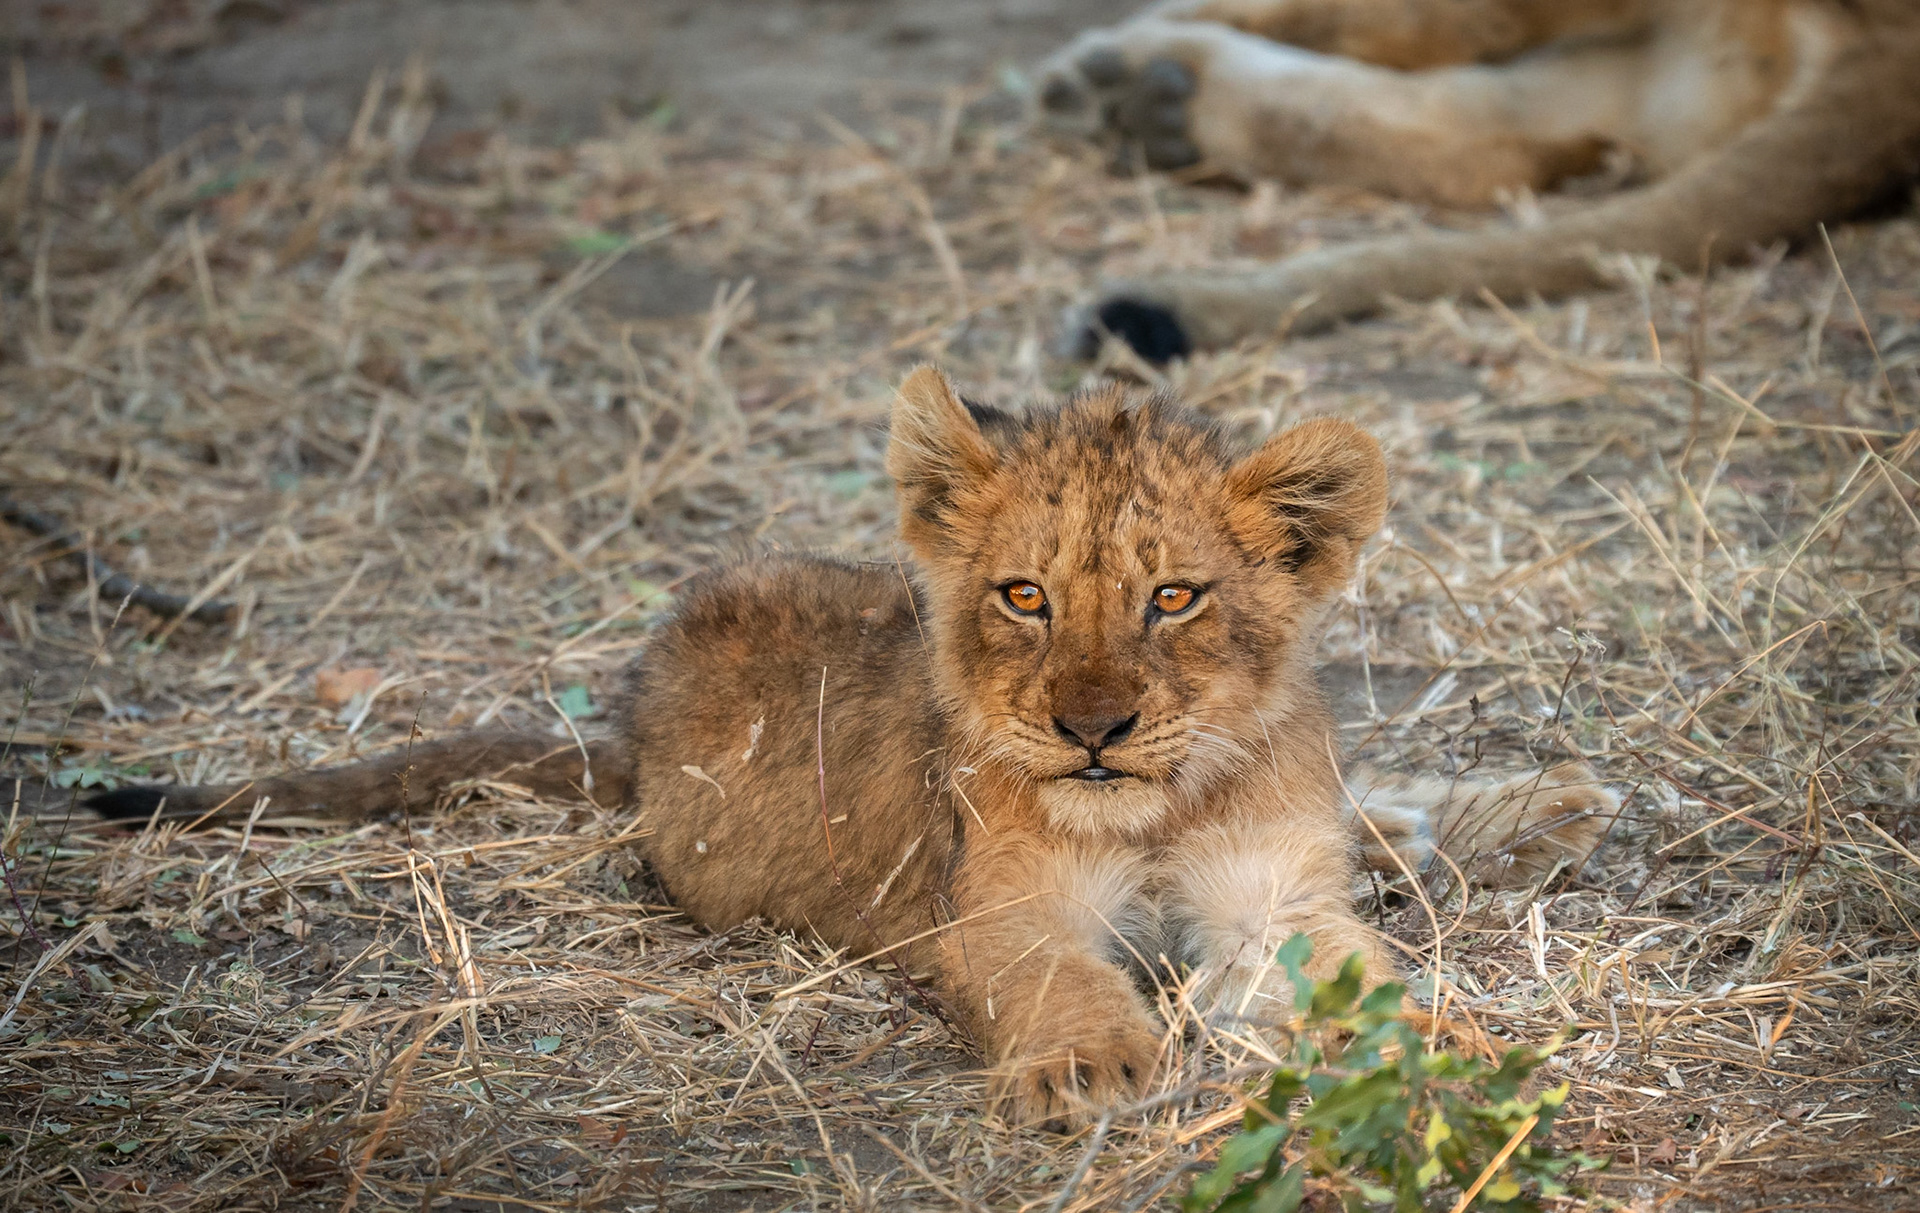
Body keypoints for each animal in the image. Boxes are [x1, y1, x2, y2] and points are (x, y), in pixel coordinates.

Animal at [88, 368, 1615, 1129]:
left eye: (1174, 598)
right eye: (1026, 597)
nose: (1092, 728)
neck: (1156, 806)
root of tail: (632, 727)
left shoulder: (1272, 900)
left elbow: (1349, 970)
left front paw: (1439, 1037)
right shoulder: (992, 911)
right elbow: (1058, 980)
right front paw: (1091, 1067)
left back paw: (1522, 810)